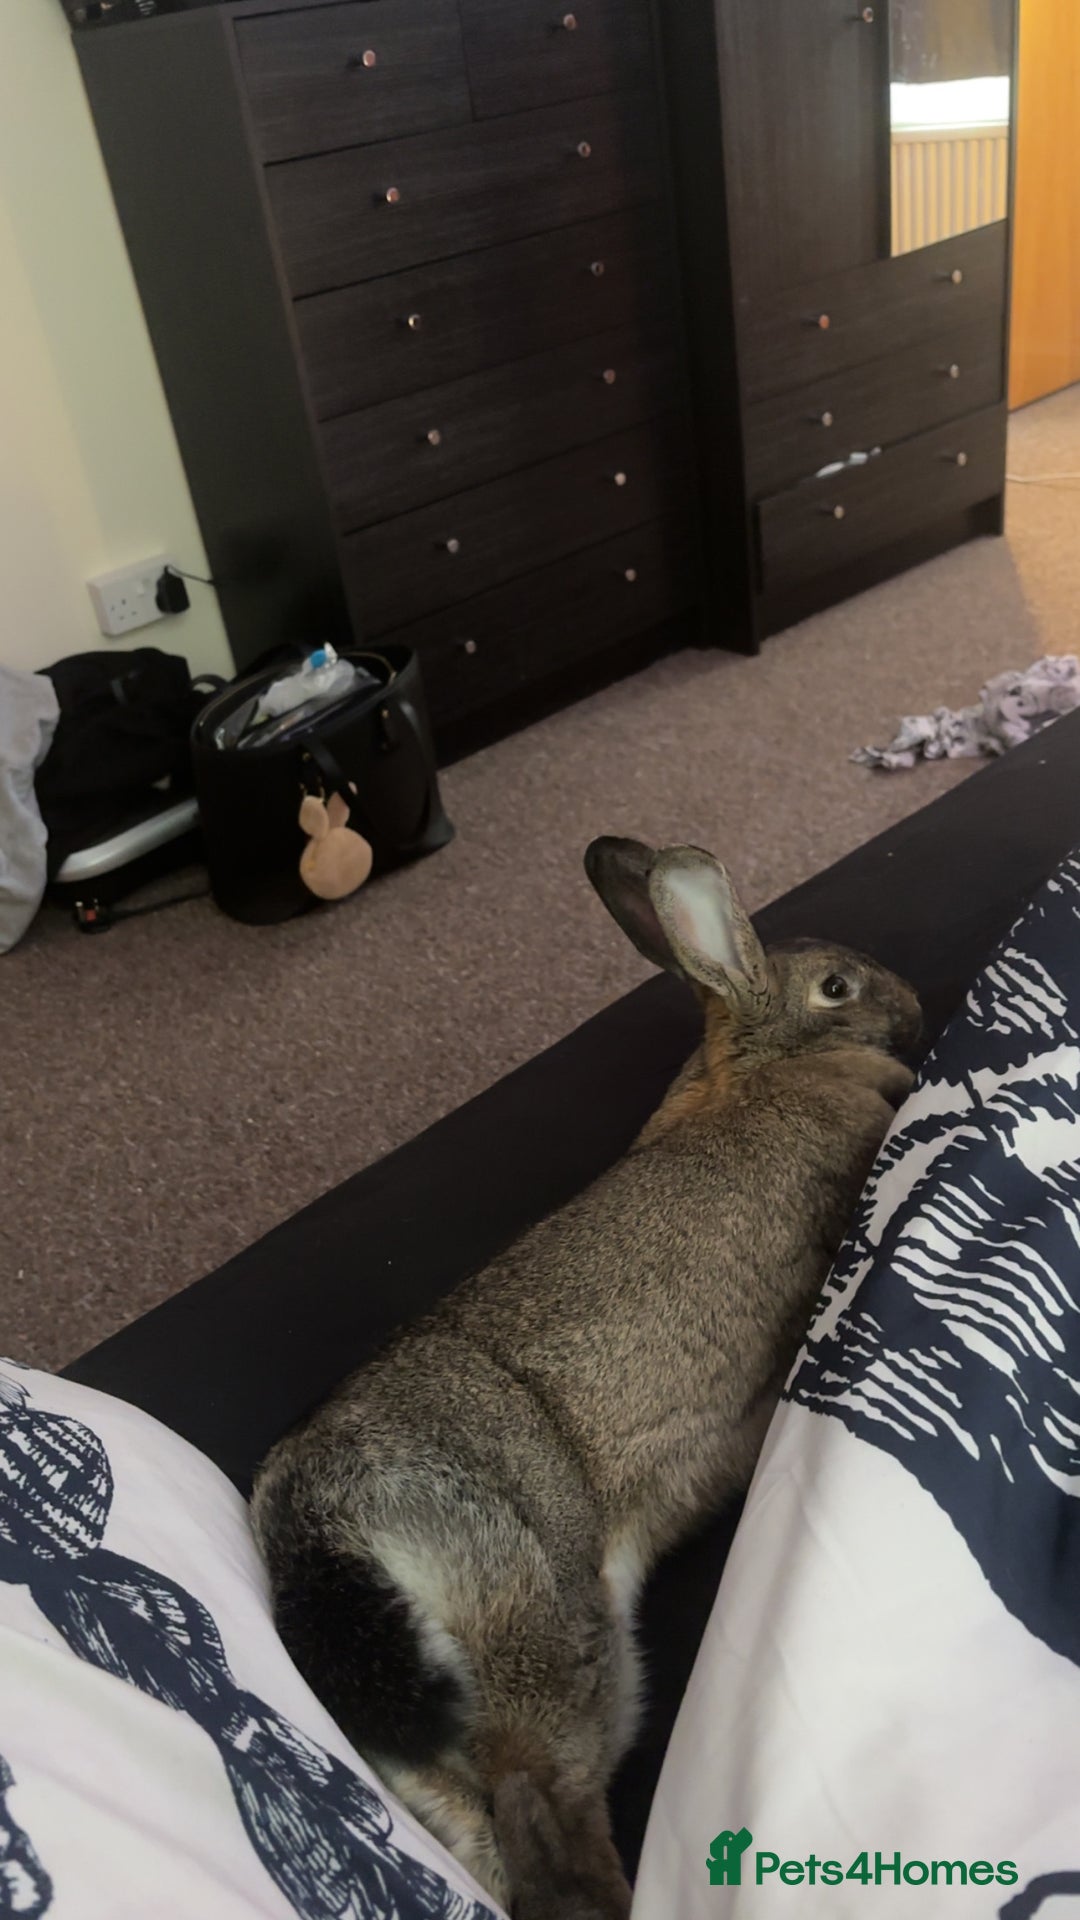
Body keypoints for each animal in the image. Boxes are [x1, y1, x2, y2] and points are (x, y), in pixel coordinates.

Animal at [250, 837, 921, 1920]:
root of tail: (313, 1523)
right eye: (835, 986)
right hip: (546, 1614)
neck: (768, 1065)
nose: (912, 1008)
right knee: (547, 1804)